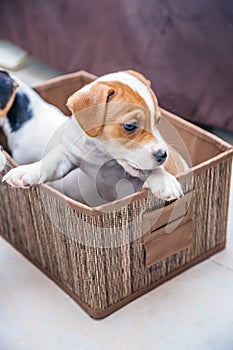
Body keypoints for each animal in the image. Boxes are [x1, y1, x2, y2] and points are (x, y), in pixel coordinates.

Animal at [2, 70, 188, 205]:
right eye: (130, 126)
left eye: (157, 121)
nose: (163, 155)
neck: (100, 154)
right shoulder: (69, 155)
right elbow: (49, 162)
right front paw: (26, 171)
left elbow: (154, 170)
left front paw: (165, 181)